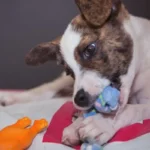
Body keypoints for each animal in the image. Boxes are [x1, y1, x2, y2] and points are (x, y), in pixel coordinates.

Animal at [0, 0, 150, 148]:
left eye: (90, 49)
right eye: (69, 71)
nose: (79, 100)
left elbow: (133, 109)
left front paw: (100, 124)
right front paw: (85, 122)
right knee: (47, 89)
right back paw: (11, 97)